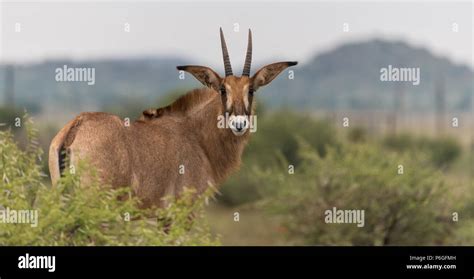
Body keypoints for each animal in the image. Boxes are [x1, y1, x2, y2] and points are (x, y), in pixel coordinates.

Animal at [50, 28, 298, 209]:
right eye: (222, 90)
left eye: (251, 90)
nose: (239, 124)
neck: (196, 136)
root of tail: (77, 126)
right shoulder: (180, 211)